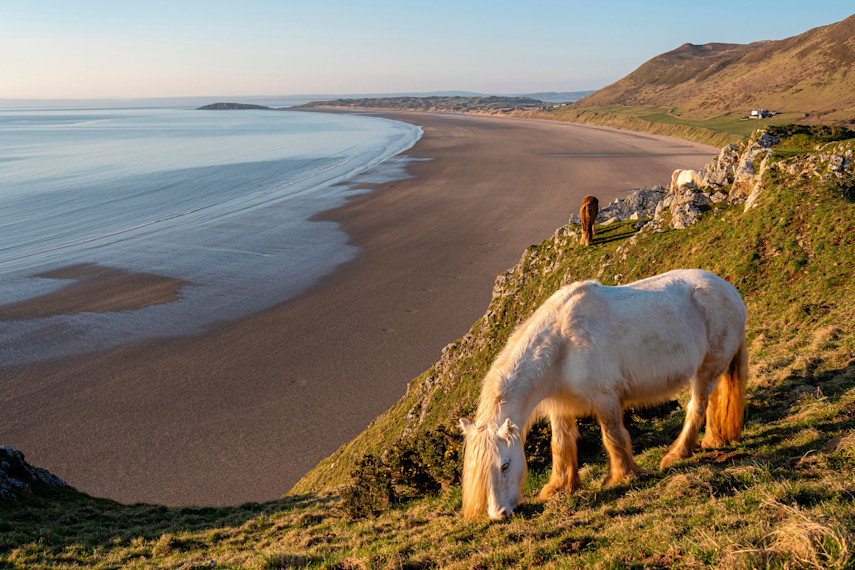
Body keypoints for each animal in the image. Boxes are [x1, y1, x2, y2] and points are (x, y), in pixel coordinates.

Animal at [458, 270, 744, 520]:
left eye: (505, 465)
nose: (499, 514)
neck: (562, 345)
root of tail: (729, 290)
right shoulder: (560, 407)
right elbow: (561, 445)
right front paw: (560, 488)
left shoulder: (605, 397)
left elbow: (613, 436)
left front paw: (624, 475)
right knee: (714, 402)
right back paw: (714, 440)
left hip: (707, 369)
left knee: (697, 406)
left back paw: (677, 453)